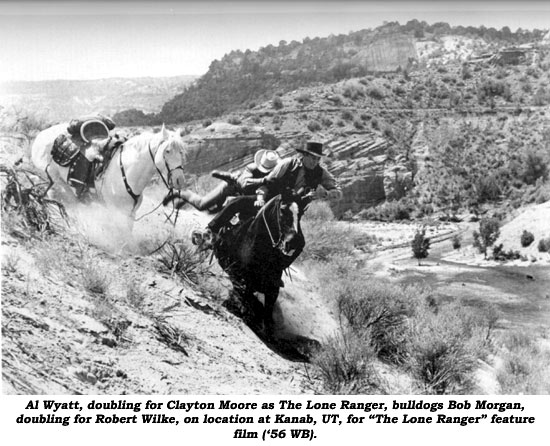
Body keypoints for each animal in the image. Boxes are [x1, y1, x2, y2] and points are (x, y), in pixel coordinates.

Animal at [31, 123, 189, 223]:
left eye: (182, 152)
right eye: (167, 151)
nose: (179, 181)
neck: (127, 173)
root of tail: (41, 134)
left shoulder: (130, 213)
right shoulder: (116, 212)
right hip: (54, 180)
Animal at [213, 192, 308, 332]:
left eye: (300, 214)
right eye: (283, 210)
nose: (295, 241)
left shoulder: (273, 289)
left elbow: (267, 315)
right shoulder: (238, 277)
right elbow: (244, 297)